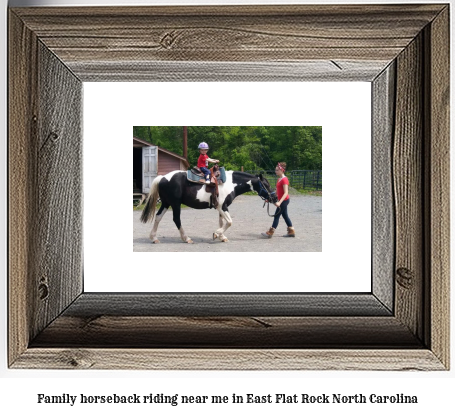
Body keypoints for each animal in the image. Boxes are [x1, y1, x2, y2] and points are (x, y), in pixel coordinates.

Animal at [141, 171, 278, 244]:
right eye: (266, 185)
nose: (275, 198)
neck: (230, 184)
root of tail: (163, 177)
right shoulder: (222, 206)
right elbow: (229, 222)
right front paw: (216, 234)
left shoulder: (221, 208)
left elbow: (222, 222)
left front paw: (222, 236)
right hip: (175, 204)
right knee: (176, 219)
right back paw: (186, 238)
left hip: (166, 203)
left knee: (158, 217)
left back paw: (154, 238)